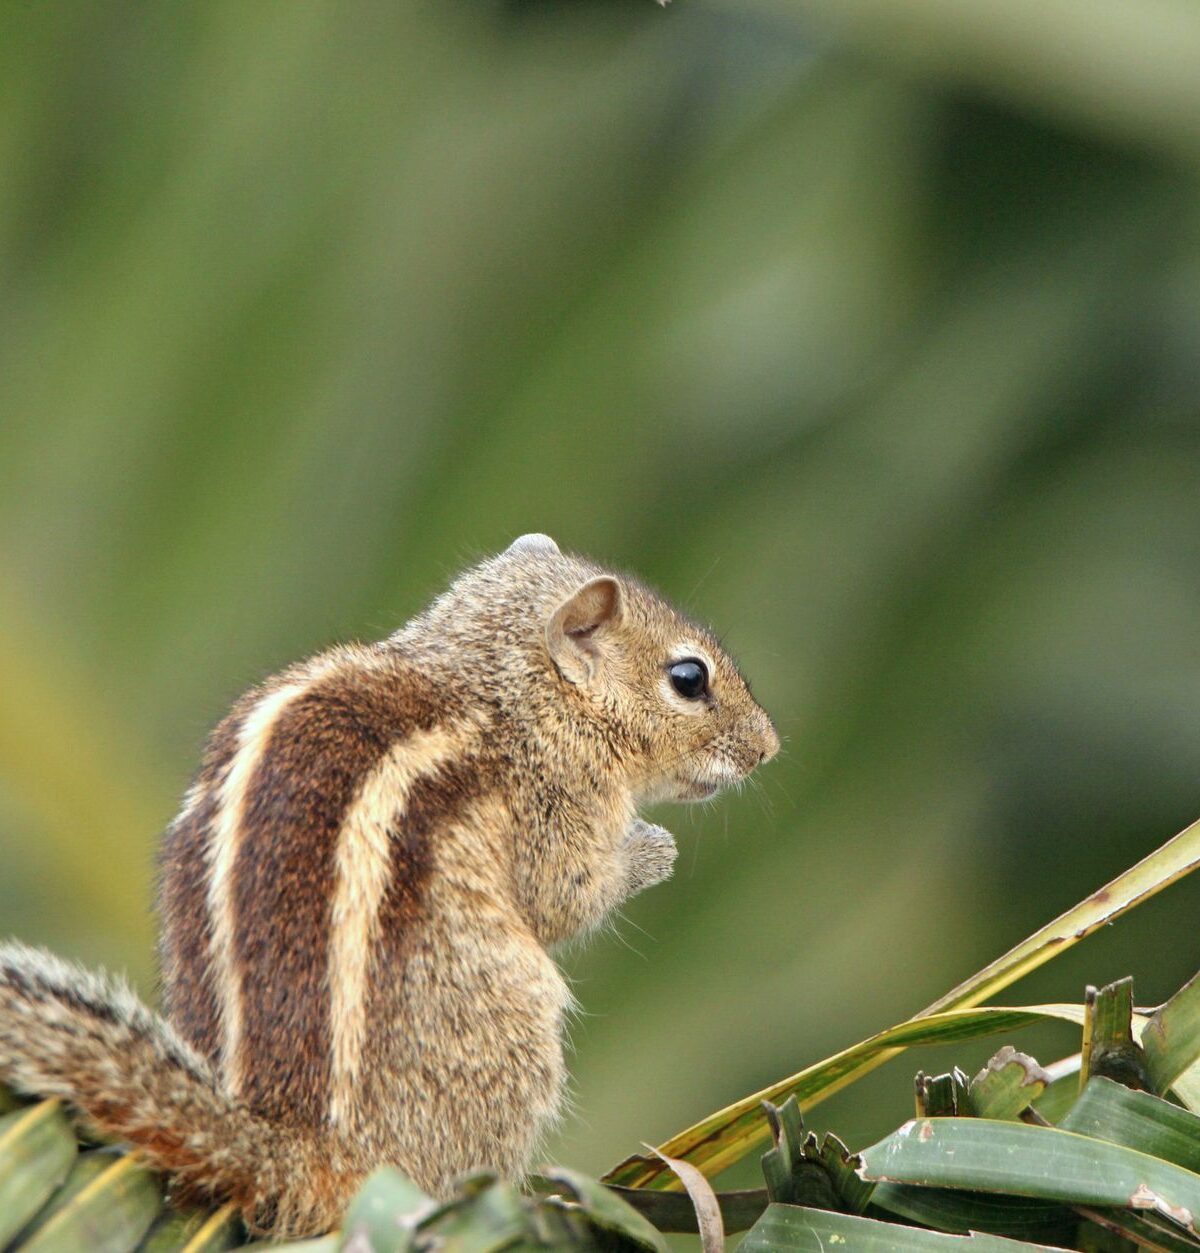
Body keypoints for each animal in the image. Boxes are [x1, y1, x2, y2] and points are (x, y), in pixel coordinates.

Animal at [0, 534, 778, 1237]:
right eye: (688, 678)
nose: (769, 748)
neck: (496, 677)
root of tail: (301, 1151)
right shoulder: (554, 799)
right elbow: (565, 895)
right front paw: (654, 849)